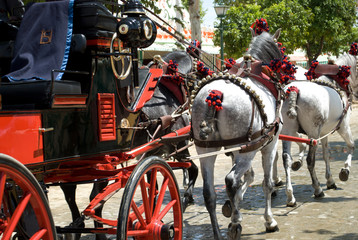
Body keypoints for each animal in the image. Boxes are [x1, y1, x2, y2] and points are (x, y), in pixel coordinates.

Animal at [190, 30, 282, 240]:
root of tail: (215, 93)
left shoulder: (233, 149)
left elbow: (247, 178)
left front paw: (232, 204)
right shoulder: (269, 144)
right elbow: (266, 183)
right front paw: (269, 221)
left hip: (205, 149)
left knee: (209, 193)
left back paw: (218, 230)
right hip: (247, 151)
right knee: (230, 180)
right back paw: (235, 223)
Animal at [282, 53, 356, 206]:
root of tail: (294, 90)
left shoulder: (324, 132)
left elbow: (327, 154)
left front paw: (330, 180)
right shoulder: (343, 126)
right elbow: (351, 146)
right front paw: (345, 171)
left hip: (287, 131)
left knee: (286, 159)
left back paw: (290, 196)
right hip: (313, 133)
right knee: (310, 160)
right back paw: (317, 189)